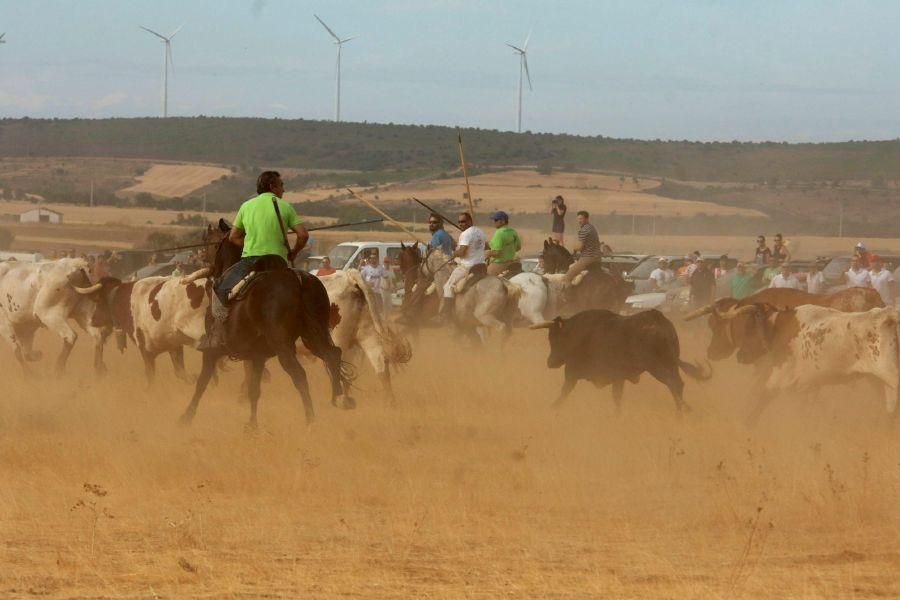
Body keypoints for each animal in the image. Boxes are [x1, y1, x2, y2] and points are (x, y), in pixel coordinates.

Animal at [182, 223, 356, 428]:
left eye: (209, 242)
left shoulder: (212, 351)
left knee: (299, 374)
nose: (203, 261)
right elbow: (254, 390)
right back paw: (339, 398)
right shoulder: (258, 356)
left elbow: (202, 383)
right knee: (332, 355)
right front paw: (252, 426)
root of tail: (298, 280)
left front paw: (186, 417)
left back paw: (310, 420)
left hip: (283, 345)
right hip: (314, 334)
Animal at [532, 308, 712, 414]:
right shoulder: (618, 378)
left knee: (674, 384)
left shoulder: (574, 372)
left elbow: (565, 392)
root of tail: (659, 321)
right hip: (671, 364)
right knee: (678, 384)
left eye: (553, 338)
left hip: (658, 367)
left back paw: (680, 413)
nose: (550, 362)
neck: (580, 333)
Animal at [712, 302, 896, 424]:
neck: (779, 328)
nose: (740, 356)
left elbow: (757, 407)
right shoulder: (806, 386)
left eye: (750, 328)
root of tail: (889, 316)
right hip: (880, 380)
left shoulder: (779, 378)